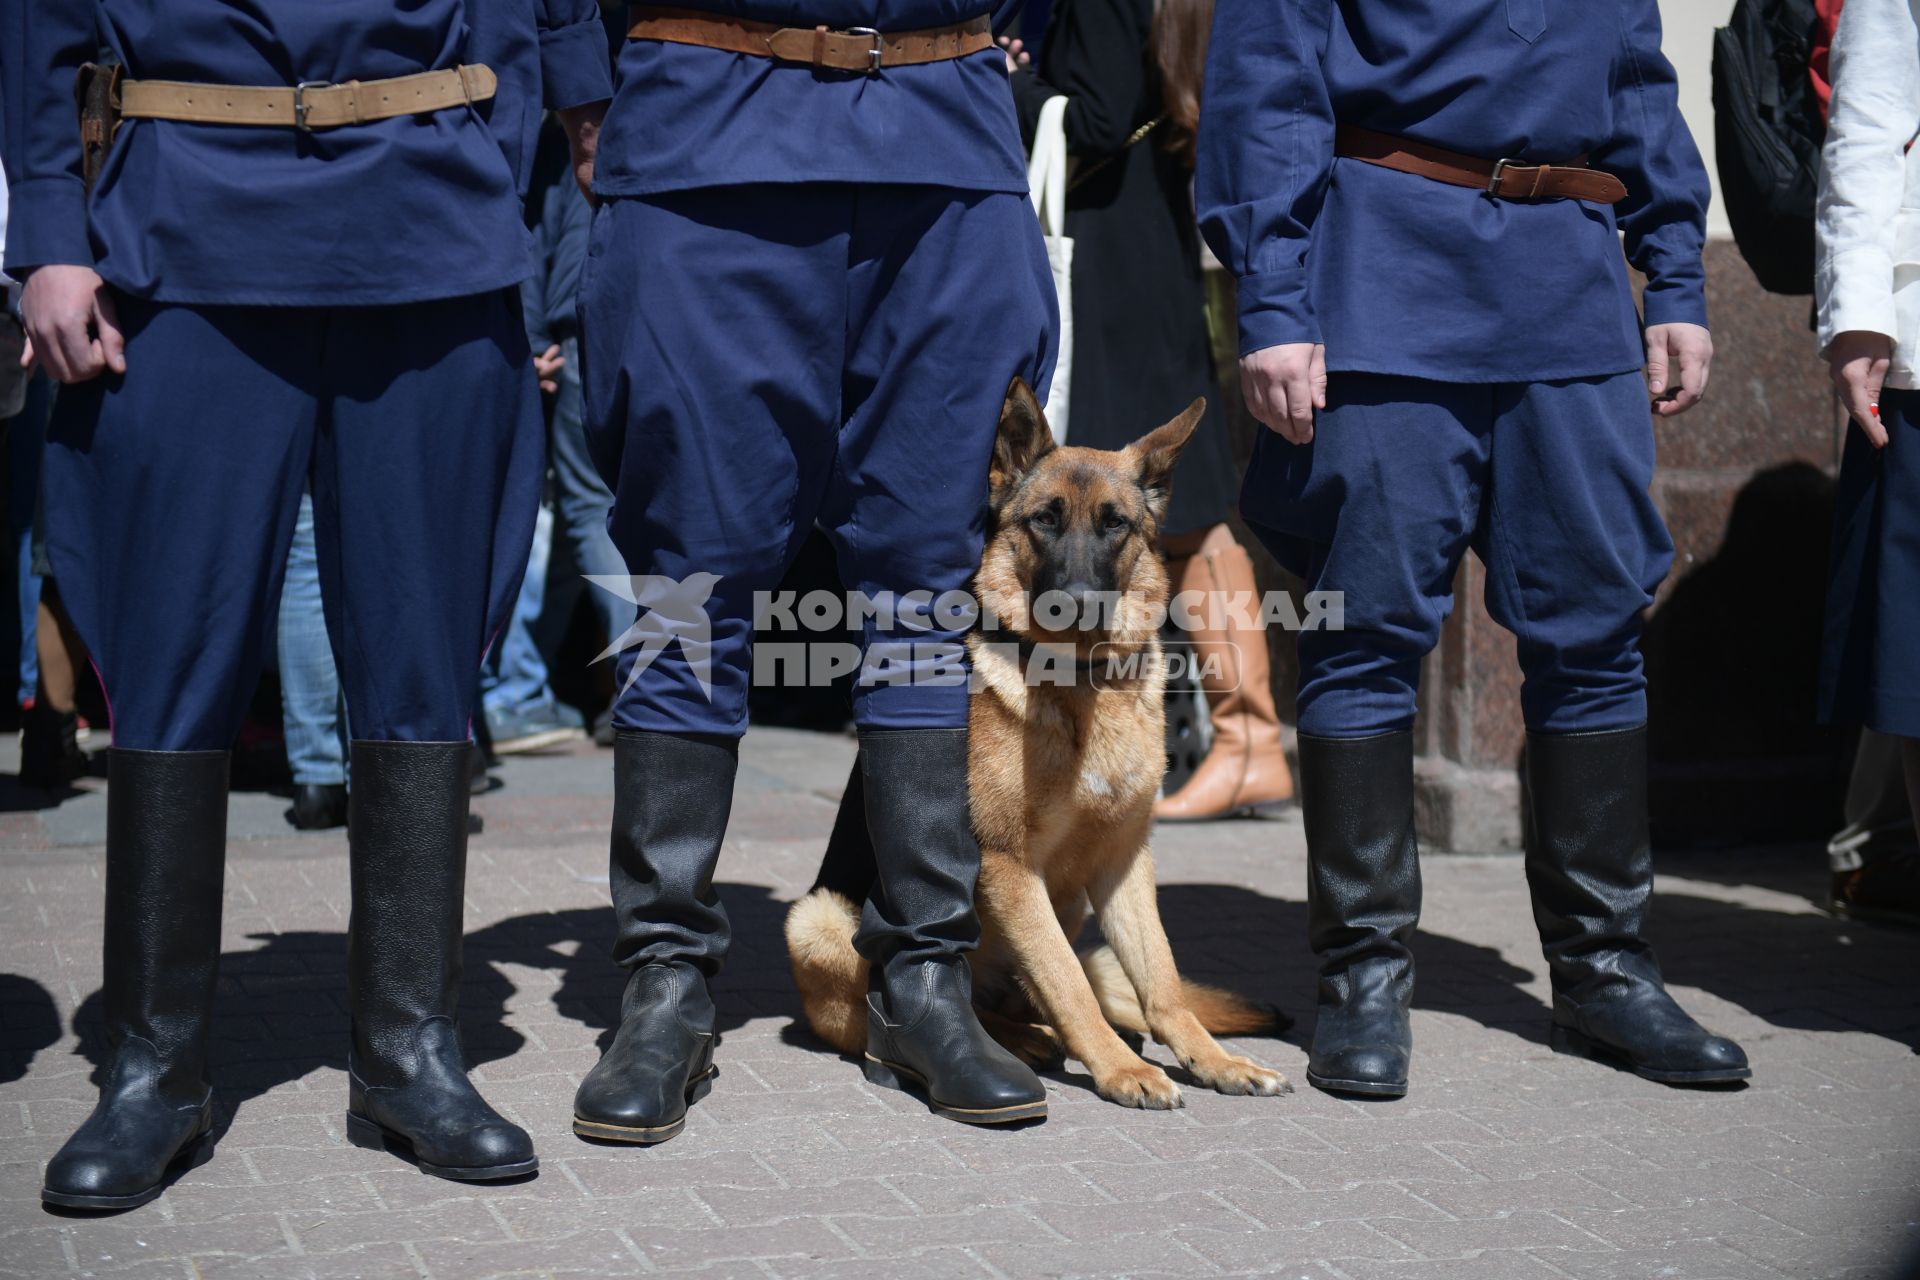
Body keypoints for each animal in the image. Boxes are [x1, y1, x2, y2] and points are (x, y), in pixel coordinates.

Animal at [779, 376, 1290, 1105]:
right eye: (1044, 520)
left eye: (1115, 523)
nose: (1074, 600)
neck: (1080, 684)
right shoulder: (1010, 869)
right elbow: (1069, 984)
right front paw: (1123, 1070)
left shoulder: (1124, 861)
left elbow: (1160, 979)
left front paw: (1213, 1060)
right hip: (818, 918)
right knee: (940, 996)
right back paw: (1012, 1043)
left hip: (1068, 906)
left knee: (1032, 992)